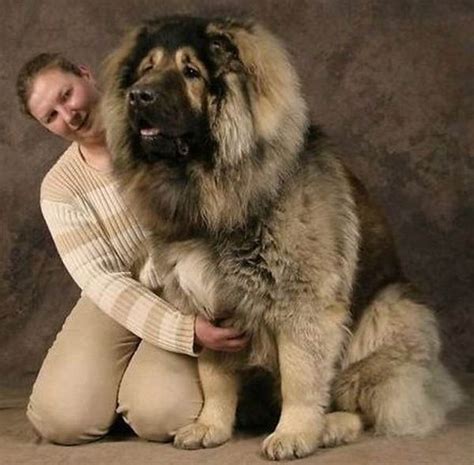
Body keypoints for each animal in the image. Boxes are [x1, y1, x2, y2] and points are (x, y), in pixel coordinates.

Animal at [103, 15, 462, 460]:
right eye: (145, 69)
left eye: (191, 72)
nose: (139, 96)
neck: (214, 194)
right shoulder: (208, 308)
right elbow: (214, 379)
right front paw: (210, 426)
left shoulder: (302, 305)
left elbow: (300, 378)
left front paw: (294, 433)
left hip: (390, 313)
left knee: (368, 404)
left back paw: (331, 427)